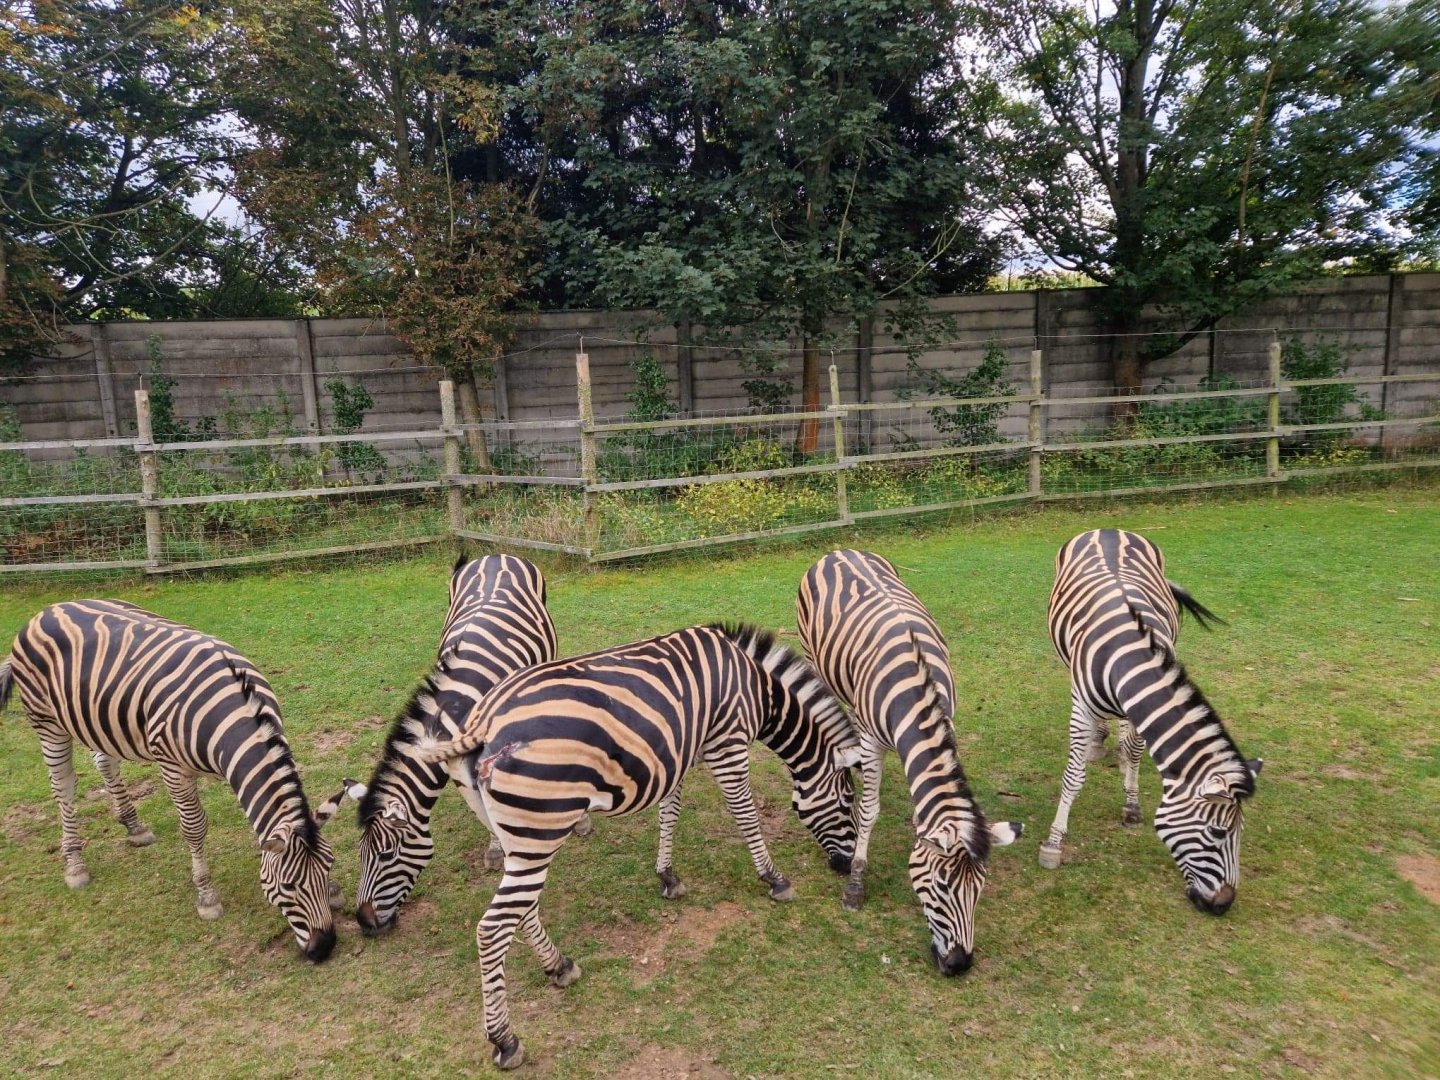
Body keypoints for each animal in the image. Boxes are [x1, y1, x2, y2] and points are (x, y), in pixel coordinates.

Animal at [0, 599, 342, 961]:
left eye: (329, 867)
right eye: (289, 886)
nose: (324, 948)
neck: (239, 711)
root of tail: (47, 610)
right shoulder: (172, 768)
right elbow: (194, 828)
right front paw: (206, 897)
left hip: (97, 721)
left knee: (104, 762)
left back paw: (134, 827)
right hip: (47, 723)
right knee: (63, 787)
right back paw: (75, 863)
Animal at [416, 622, 861, 1070]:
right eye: (848, 801)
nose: (844, 867)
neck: (755, 686)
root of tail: (484, 720)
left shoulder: (681, 751)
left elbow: (670, 811)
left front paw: (667, 876)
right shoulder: (728, 746)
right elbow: (746, 816)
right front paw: (774, 879)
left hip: (515, 834)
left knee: (521, 910)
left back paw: (559, 966)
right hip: (539, 830)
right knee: (493, 928)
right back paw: (505, 1039)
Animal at [797, 549, 1022, 976]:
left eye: (980, 888)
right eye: (942, 887)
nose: (960, 965)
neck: (915, 691)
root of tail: (839, 551)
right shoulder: (871, 740)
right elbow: (868, 810)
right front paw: (855, 885)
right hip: (813, 658)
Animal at [1038, 528, 1262, 915]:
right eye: (1219, 833)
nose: (1223, 905)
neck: (1127, 651)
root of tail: (1108, 529)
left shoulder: (1140, 707)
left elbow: (1134, 752)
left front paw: (1131, 805)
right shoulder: (1081, 705)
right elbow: (1074, 775)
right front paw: (1054, 840)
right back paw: (1098, 741)